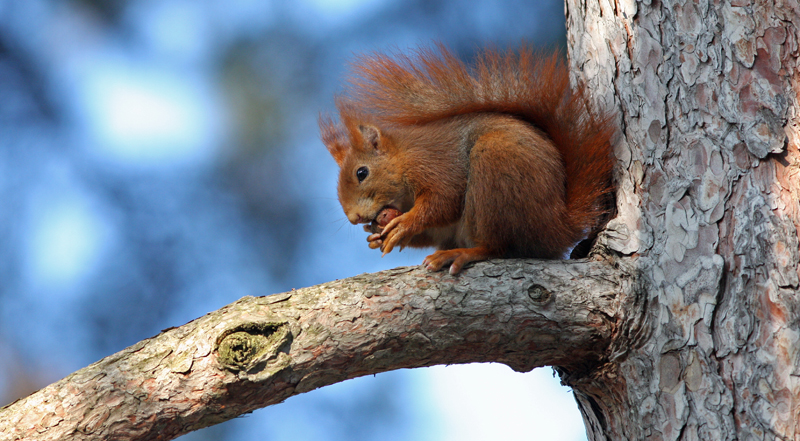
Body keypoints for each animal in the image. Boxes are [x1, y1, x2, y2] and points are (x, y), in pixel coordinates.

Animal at [322, 43, 616, 274]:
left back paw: (463, 253)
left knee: (499, 247)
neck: (403, 158)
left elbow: (444, 199)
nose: (354, 218)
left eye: (362, 172)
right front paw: (374, 236)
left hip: (496, 170)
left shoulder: (433, 162)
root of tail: (559, 227)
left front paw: (404, 223)